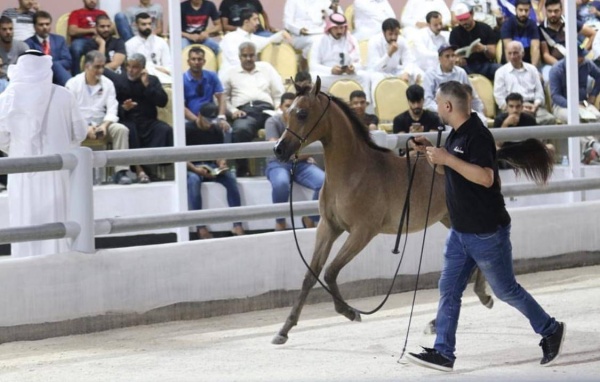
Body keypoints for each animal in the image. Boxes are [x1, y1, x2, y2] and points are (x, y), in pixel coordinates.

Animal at [272, 77, 552, 346]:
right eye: (287, 113)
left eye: (302, 113)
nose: (279, 150)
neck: (353, 172)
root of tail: (492, 159)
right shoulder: (329, 227)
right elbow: (310, 276)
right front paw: (283, 331)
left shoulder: (362, 232)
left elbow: (330, 272)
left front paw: (350, 312)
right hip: (451, 219)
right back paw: (468, 305)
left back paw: (473, 302)